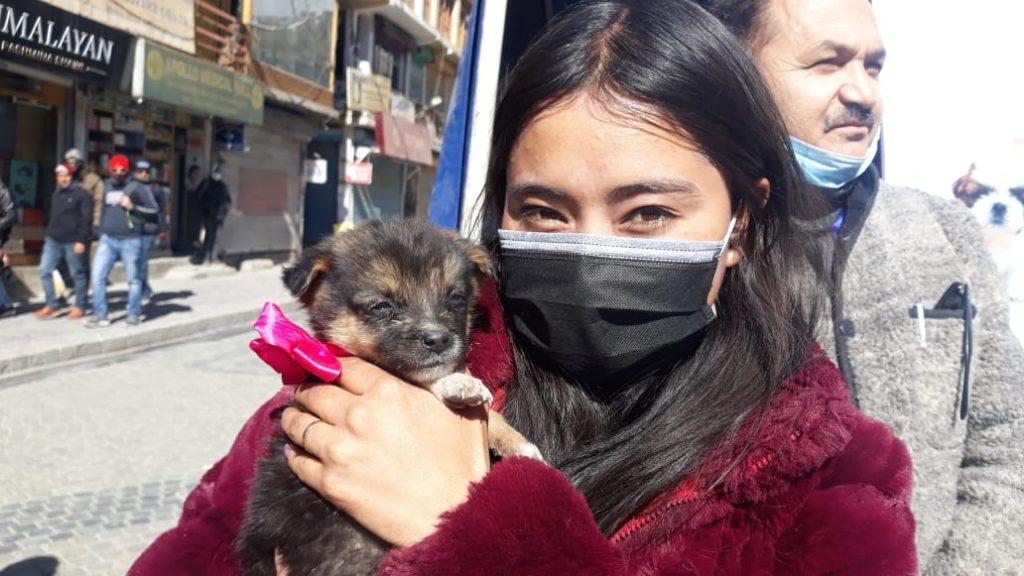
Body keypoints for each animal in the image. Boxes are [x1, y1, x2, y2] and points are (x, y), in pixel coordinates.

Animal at [238, 218, 540, 573]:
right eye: (382, 306)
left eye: (454, 299)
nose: (439, 340)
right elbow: (417, 375)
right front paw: (456, 383)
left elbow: (493, 416)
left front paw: (518, 444)